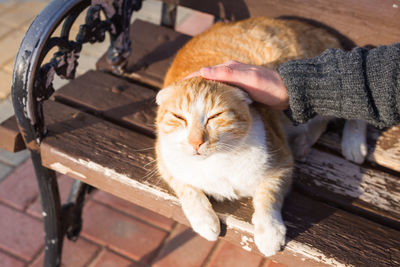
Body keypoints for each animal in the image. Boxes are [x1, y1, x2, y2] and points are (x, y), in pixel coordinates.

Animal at [155, 17, 368, 258]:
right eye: (179, 117)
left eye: (215, 116)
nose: (196, 142)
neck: (216, 162)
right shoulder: (165, 162)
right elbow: (187, 189)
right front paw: (205, 221)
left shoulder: (282, 164)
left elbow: (269, 196)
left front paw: (270, 233)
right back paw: (302, 142)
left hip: (329, 87)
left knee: (353, 102)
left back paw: (353, 144)